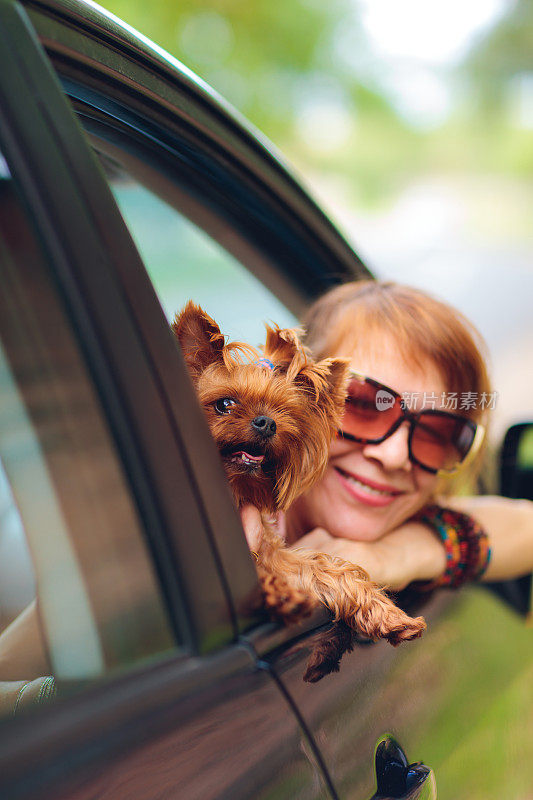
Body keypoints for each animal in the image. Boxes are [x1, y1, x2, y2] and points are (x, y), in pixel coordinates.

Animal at [174, 304, 424, 680]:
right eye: (224, 404)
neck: (238, 490)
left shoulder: (275, 553)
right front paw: (278, 595)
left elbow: (327, 568)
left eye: (285, 412)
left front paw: (388, 614)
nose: (267, 423)